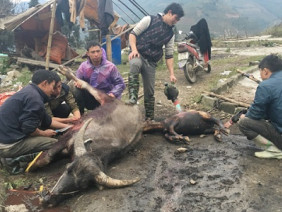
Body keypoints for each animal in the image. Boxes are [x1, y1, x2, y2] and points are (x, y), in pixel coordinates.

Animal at [40, 66, 143, 207]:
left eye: (82, 185)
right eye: (67, 168)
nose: (48, 199)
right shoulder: (68, 136)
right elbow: (47, 158)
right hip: (104, 97)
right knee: (85, 84)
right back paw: (65, 70)